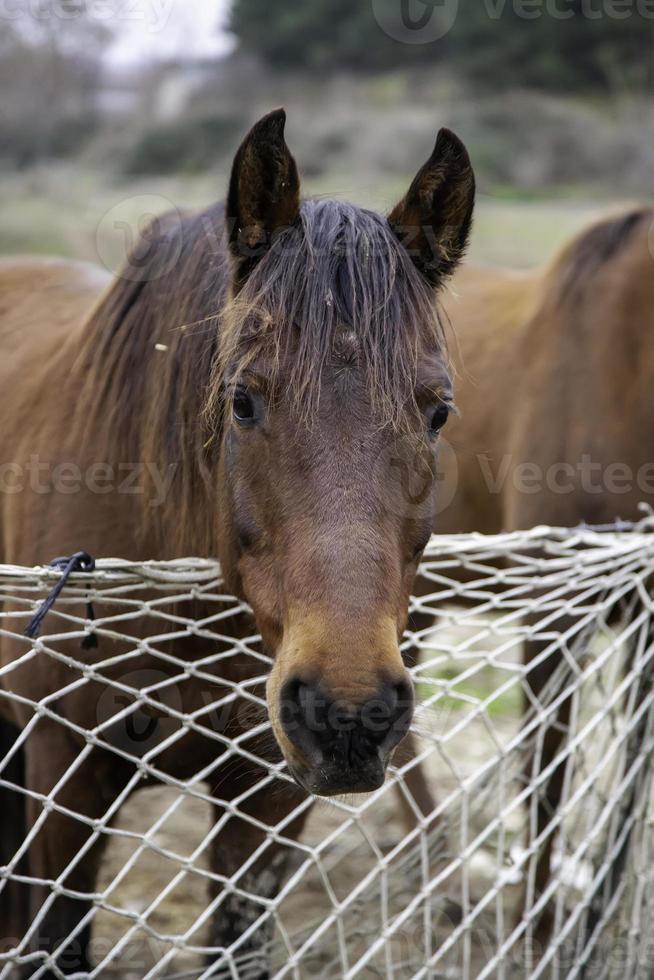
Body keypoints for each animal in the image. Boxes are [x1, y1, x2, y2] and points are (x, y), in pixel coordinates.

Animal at [0, 111, 474, 976]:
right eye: (243, 400)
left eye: (438, 412)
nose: (347, 711)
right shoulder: (66, 776)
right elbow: (60, 941)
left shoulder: (269, 796)